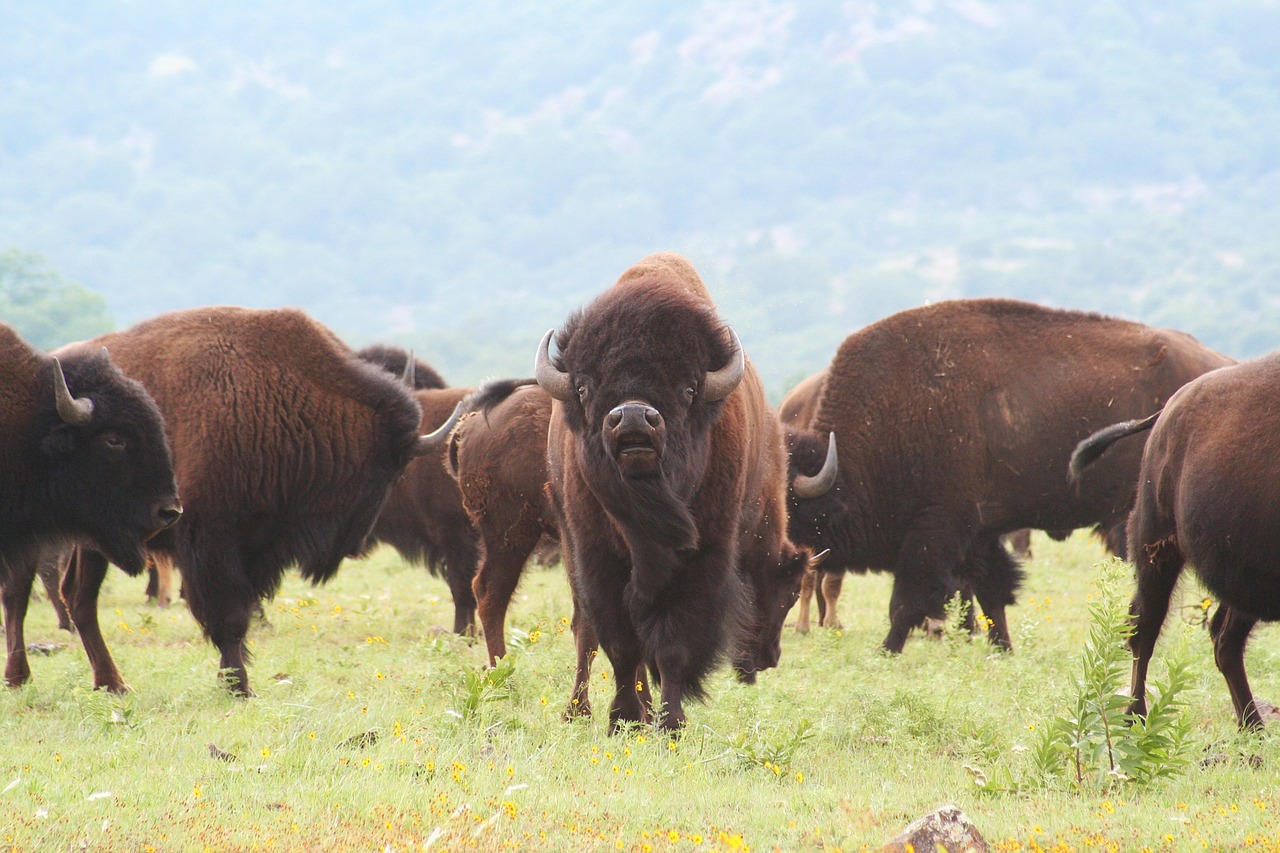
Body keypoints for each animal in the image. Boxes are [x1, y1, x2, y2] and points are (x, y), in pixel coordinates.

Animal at [57, 306, 435, 691]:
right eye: (387, 471)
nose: (357, 545)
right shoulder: (212, 540)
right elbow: (231, 617)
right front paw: (238, 685)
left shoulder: (257, 545)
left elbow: (244, 612)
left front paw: (236, 679)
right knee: (81, 597)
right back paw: (112, 683)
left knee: (76, 596)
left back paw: (110, 683)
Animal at [535, 252, 814, 732]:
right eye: (584, 386)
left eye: (688, 388)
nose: (632, 417)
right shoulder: (597, 559)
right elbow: (621, 644)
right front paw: (623, 719)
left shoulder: (702, 559)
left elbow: (671, 646)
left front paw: (670, 724)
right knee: (586, 632)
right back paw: (580, 711)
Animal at [783, 298, 1233, 650]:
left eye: (791, 509)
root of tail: (1222, 363)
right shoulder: (979, 534)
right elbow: (991, 593)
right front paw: (1002, 647)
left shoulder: (934, 531)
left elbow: (907, 602)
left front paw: (887, 650)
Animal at [1070, 350, 1280, 722]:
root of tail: (1168, 410)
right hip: (1156, 548)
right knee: (1145, 630)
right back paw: (1136, 715)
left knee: (1223, 638)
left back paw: (1252, 725)